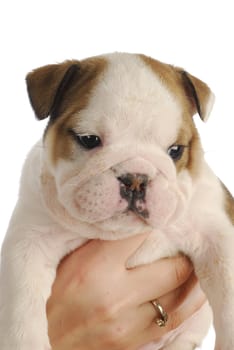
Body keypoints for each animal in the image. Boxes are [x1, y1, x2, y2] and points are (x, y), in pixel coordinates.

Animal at [0, 52, 234, 350]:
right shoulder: (30, 241)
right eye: (89, 139)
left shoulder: (217, 234)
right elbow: (22, 304)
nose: (135, 179)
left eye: (175, 150)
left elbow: (228, 294)